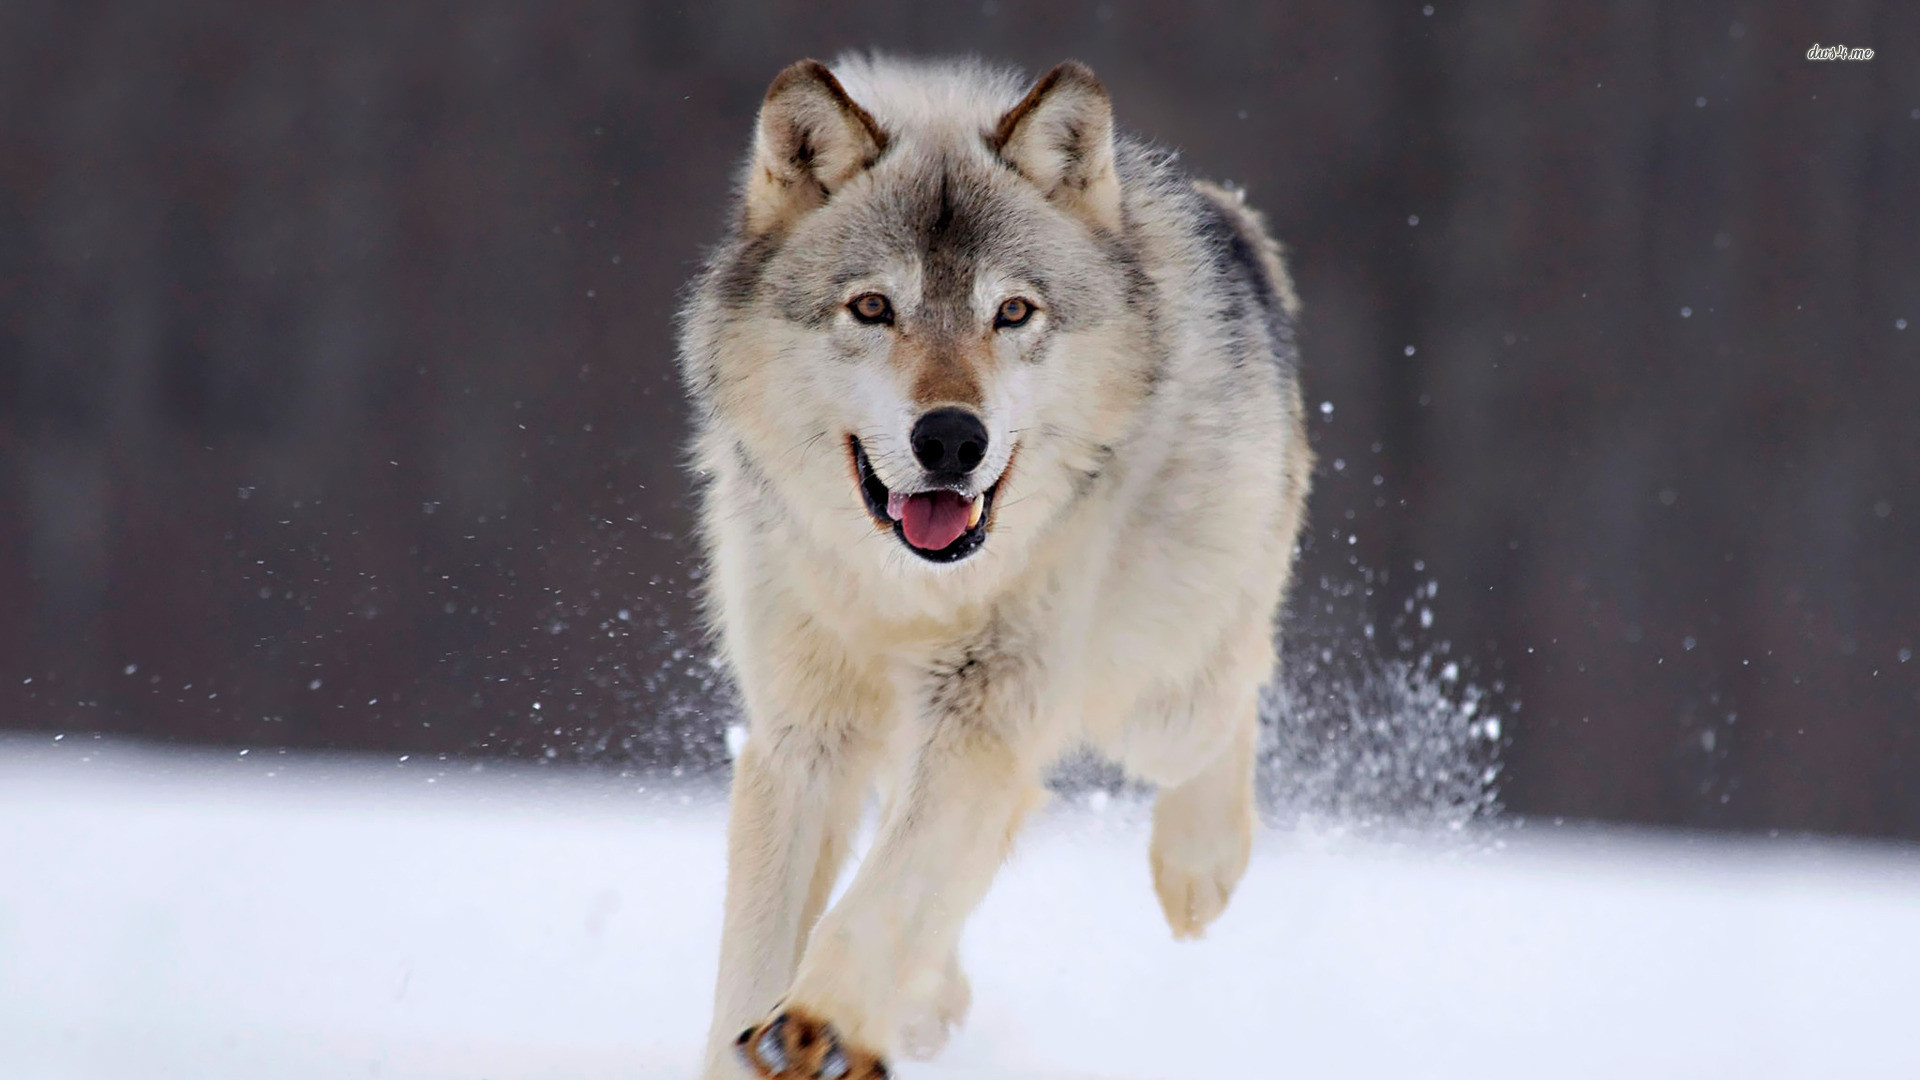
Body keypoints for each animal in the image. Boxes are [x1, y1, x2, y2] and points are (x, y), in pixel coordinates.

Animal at [677, 54, 1313, 1080]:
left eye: (1012, 312)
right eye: (873, 307)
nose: (950, 439)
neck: (907, 592)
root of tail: (1232, 220)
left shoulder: (986, 713)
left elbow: (884, 895)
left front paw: (820, 1021)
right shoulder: (803, 734)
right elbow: (761, 948)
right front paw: (777, 1032)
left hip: (1154, 698)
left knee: (1235, 690)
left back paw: (1198, 868)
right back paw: (929, 1003)